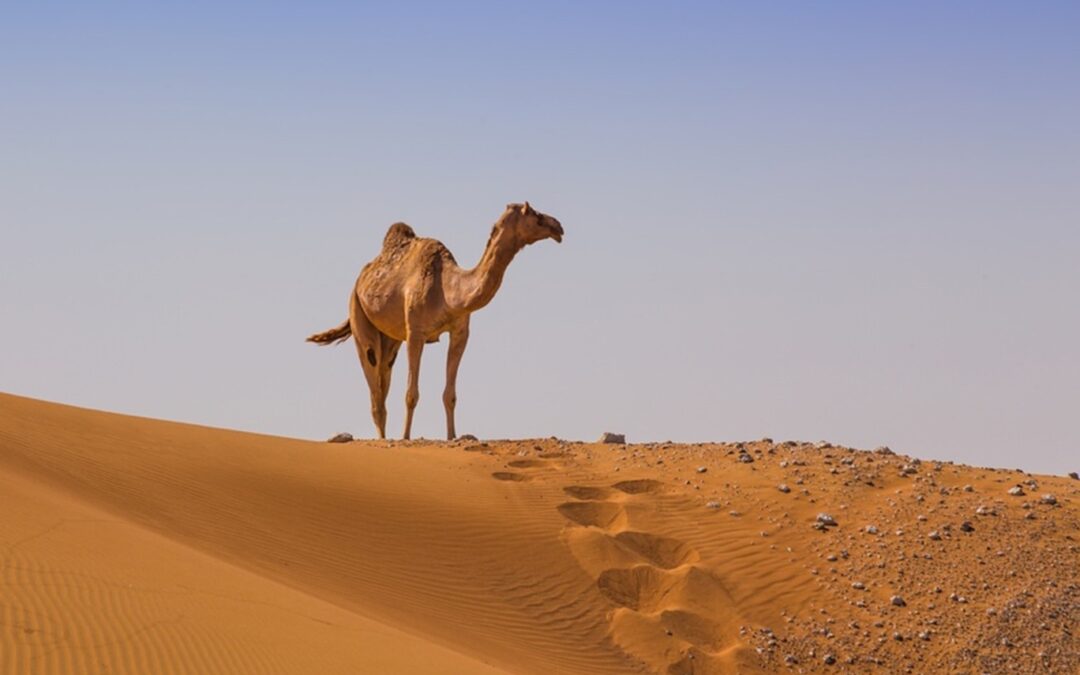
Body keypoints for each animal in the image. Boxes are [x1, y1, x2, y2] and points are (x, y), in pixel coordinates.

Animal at [307, 202, 563, 440]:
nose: (558, 226)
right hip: (358, 314)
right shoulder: (415, 332)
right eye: (534, 214)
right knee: (374, 386)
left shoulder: (460, 332)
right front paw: (405, 437)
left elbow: (450, 395)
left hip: (390, 338)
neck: (448, 290)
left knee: (383, 377)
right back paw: (383, 439)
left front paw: (452, 436)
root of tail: (360, 280)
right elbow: (411, 394)